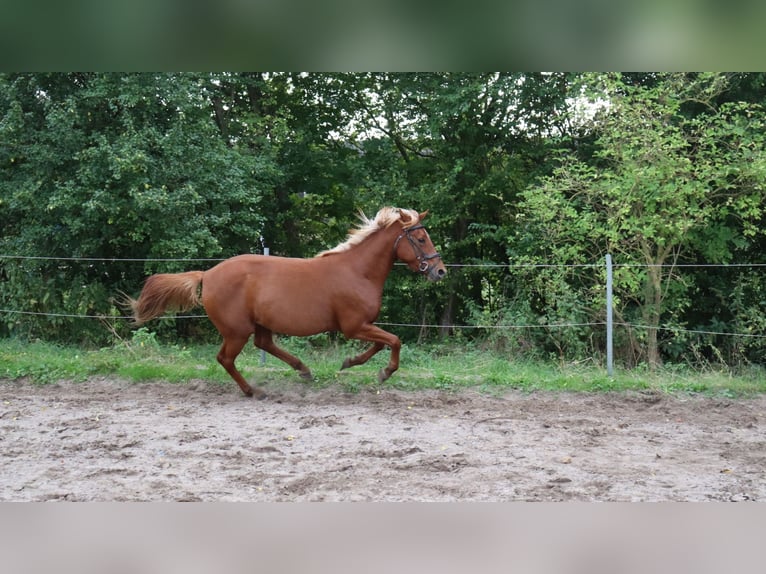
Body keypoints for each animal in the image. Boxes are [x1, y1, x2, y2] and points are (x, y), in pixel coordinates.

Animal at [128, 208, 448, 400]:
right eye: (421, 238)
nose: (440, 271)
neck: (358, 272)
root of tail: (207, 274)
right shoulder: (354, 325)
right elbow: (393, 341)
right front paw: (383, 373)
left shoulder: (361, 326)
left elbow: (382, 344)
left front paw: (350, 363)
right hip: (237, 330)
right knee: (226, 359)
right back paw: (253, 391)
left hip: (258, 324)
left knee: (264, 344)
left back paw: (303, 370)